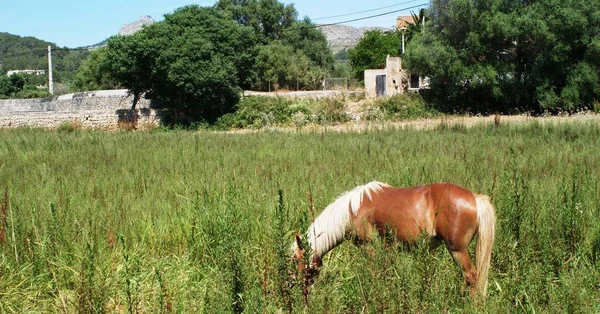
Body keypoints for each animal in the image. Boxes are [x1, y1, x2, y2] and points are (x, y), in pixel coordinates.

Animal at [292, 182, 496, 296]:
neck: (351, 211)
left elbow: (376, 275)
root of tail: (475, 197)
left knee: (471, 276)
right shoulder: (387, 250)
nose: (301, 291)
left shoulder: (369, 247)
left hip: (457, 250)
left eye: (295, 259)